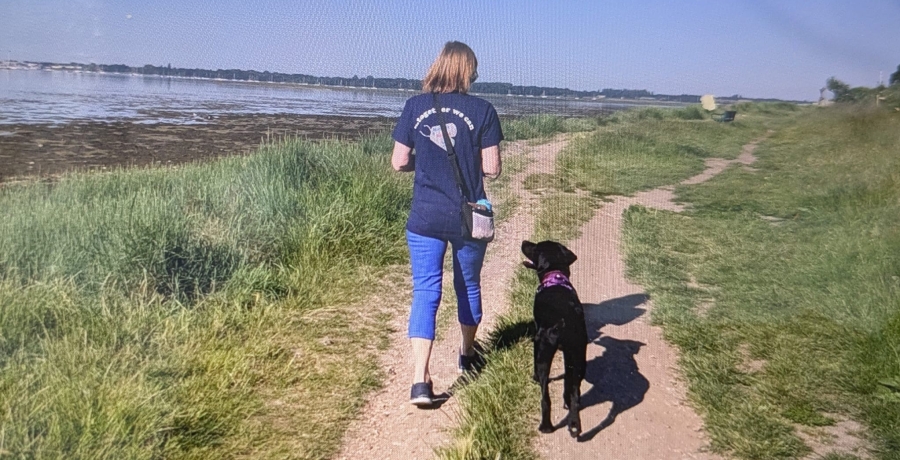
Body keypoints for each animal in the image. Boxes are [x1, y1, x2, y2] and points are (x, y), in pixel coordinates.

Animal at [520, 239, 592, 436]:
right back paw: (573, 422)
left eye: (535, 247)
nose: (524, 241)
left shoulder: (537, 338)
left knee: (545, 398)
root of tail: (563, 323)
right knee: (574, 392)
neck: (555, 277)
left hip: (546, 354)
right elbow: (568, 382)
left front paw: (534, 377)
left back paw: (546, 426)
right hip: (579, 357)